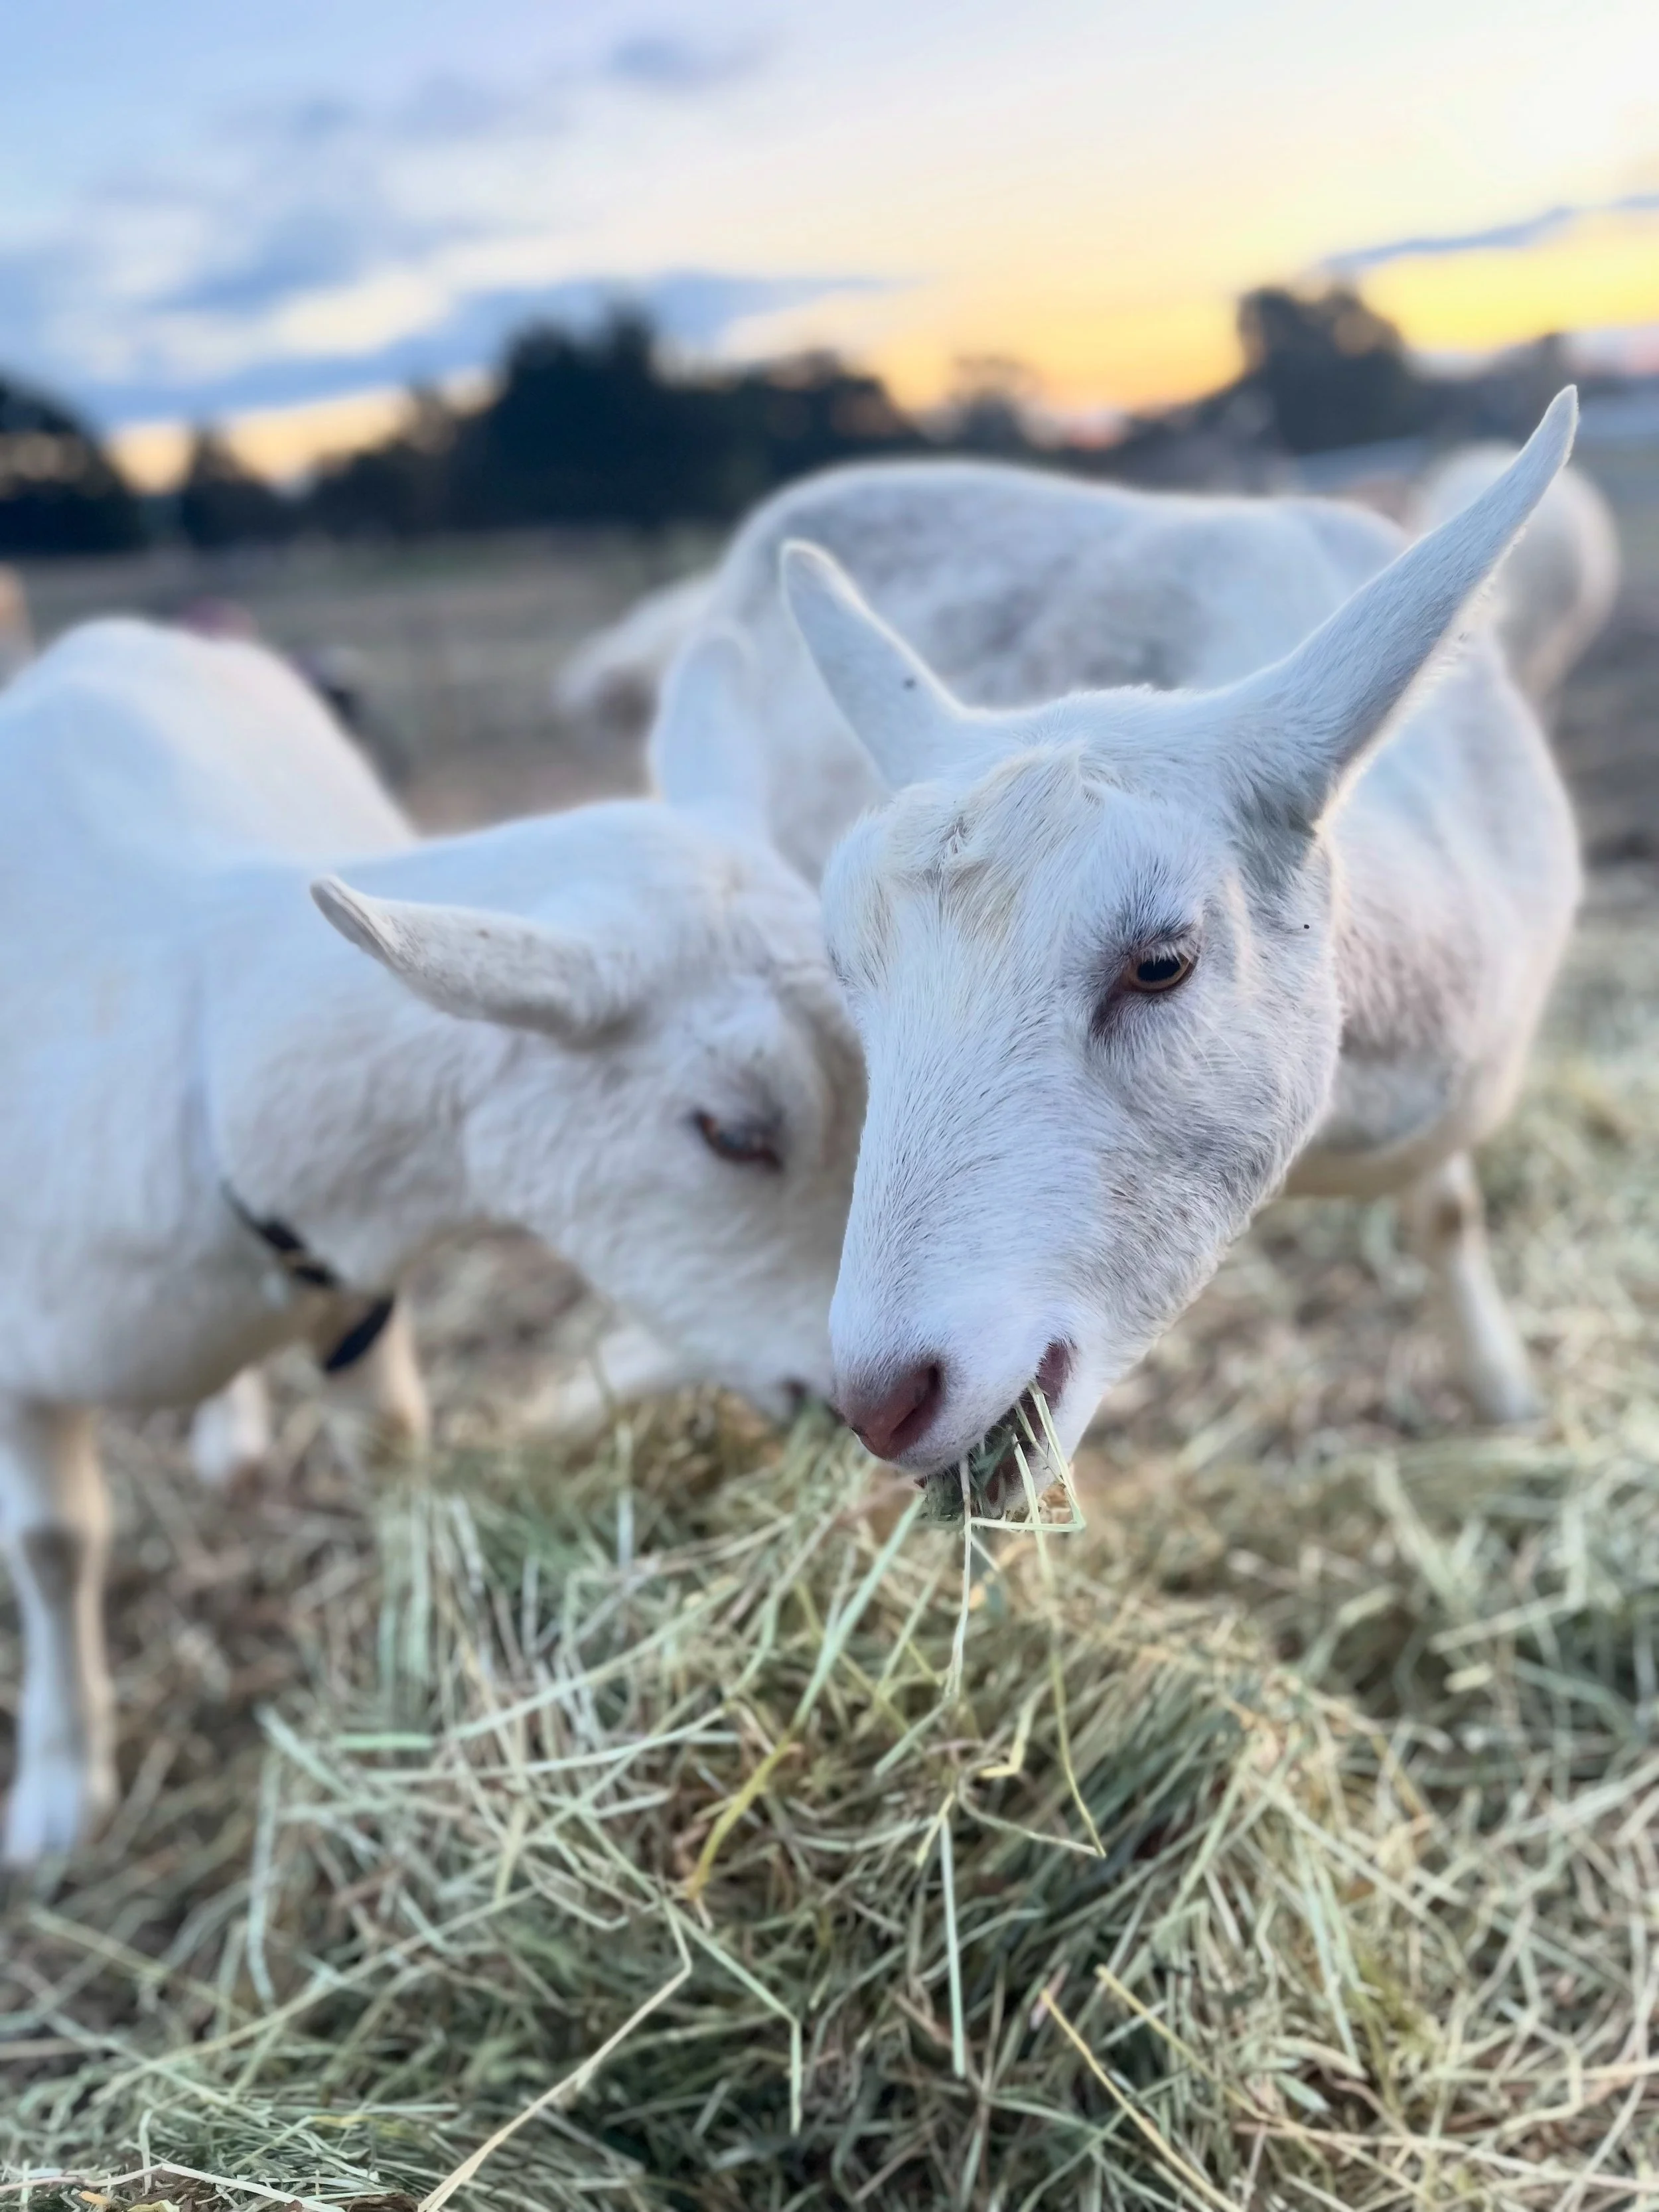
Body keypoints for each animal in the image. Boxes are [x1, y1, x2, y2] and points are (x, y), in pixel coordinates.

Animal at [0, 618, 858, 1861]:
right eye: (731, 1131)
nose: (875, 1397)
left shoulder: (353, 1293)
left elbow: (395, 1456)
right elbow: (53, 1545)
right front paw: (60, 1797)